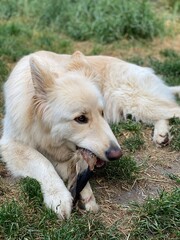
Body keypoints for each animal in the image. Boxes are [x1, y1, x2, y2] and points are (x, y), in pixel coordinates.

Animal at [0, 51, 180, 219]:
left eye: (102, 113)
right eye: (81, 119)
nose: (117, 154)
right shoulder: (11, 144)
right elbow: (43, 162)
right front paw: (61, 197)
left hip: (135, 101)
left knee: (172, 109)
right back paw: (161, 135)